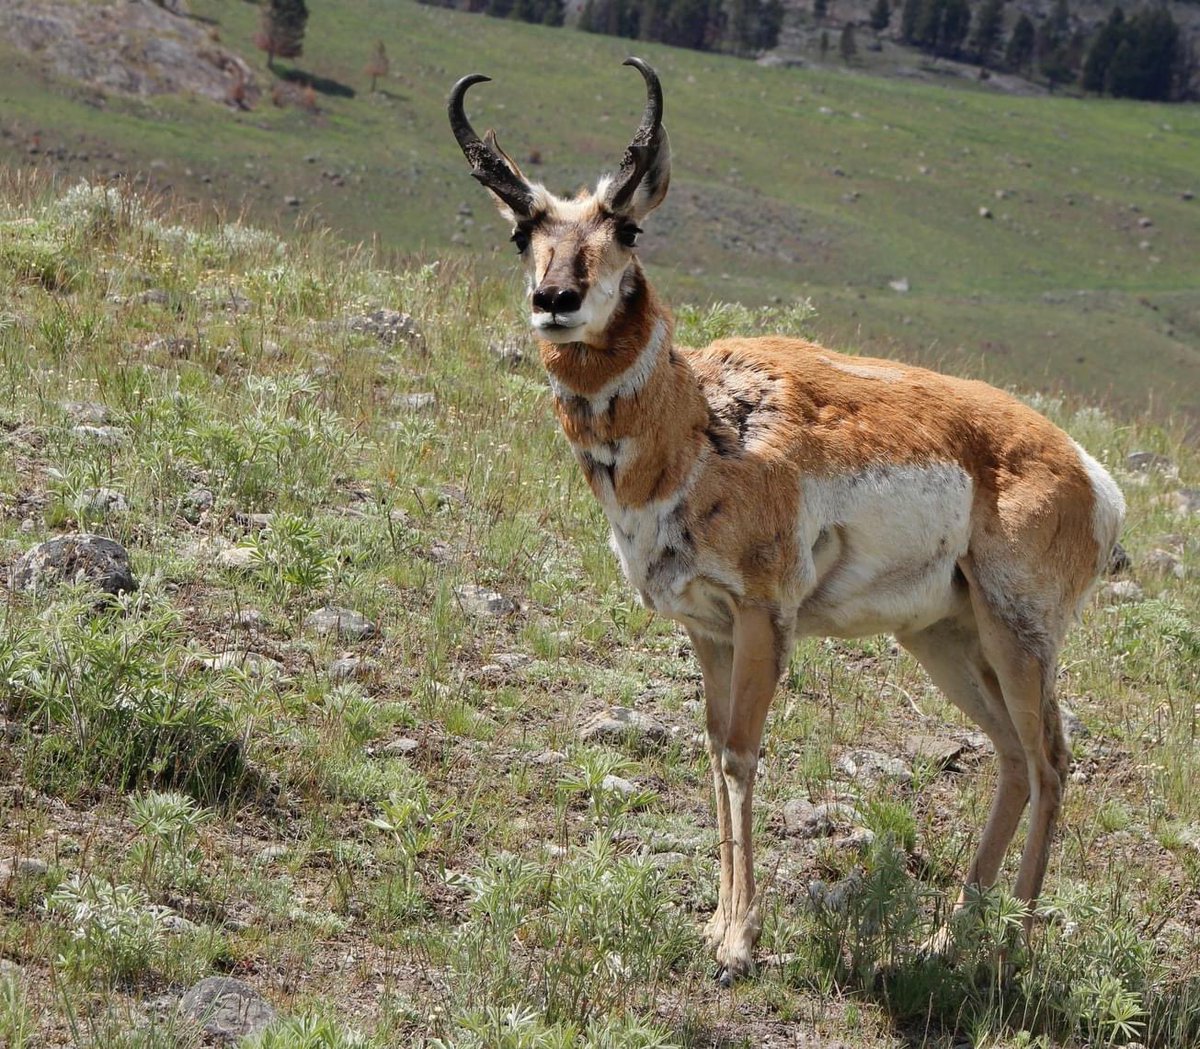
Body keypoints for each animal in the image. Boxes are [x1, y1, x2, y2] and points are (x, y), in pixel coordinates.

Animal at [448, 58, 1125, 985]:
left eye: (627, 226)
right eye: (524, 234)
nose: (557, 298)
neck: (701, 421)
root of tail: (1087, 471)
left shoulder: (764, 615)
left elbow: (740, 751)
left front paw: (739, 937)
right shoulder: (706, 626)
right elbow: (710, 746)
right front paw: (714, 924)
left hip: (1016, 633)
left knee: (1054, 758)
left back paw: (1013, 944)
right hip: (944, 636)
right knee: (1016, 758)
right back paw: (947, 937)